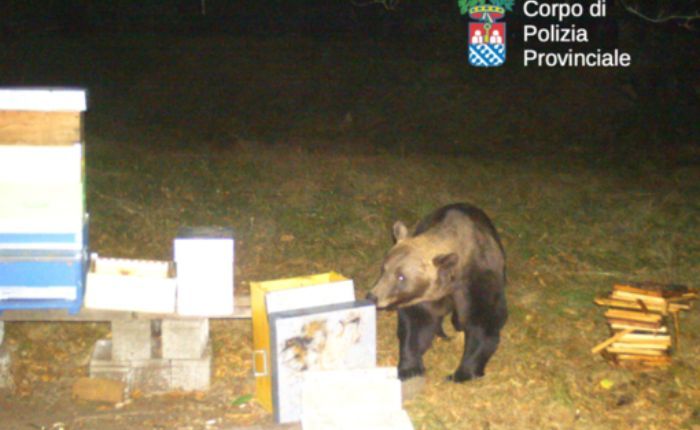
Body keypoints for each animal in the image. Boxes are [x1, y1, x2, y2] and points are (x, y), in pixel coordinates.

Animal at [366, 203, 507, 382]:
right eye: (384, 269)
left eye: (401, 276)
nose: (373, 296)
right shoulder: (426, 297)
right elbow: (417, 324)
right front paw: (410, 368)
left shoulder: (479, 279)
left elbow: (482, 321)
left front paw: (461, 373)